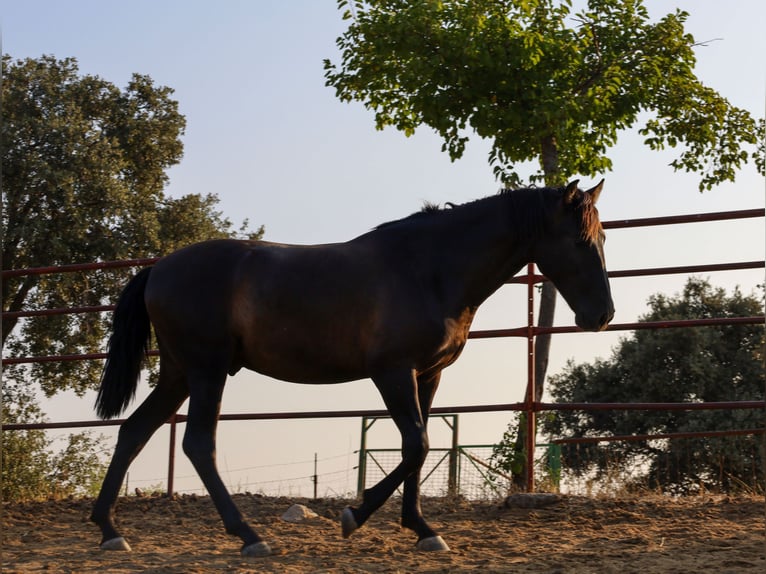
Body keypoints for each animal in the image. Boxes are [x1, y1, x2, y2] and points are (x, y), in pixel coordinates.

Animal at [91, 181, 616, 560]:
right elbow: (417, 444)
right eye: (577, 239)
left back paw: (109, 530)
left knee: (134, 430)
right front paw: (354, 515)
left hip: (181, 373)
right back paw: (250, 537)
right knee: (198, 443)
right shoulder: (392, 372)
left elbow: (418, 448)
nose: (603, 315)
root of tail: (158, 269)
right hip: (207, 371)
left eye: (603, 237)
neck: (430, 269)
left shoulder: (428, 376)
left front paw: (422, 530)